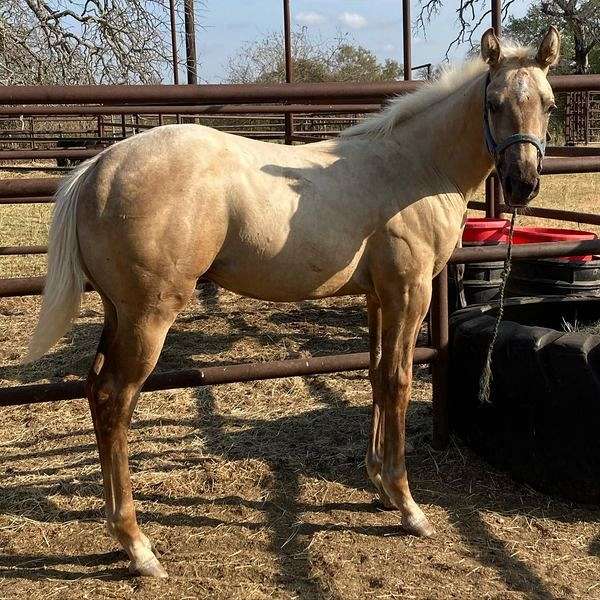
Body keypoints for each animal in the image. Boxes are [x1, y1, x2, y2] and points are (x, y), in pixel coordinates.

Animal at [25, 27, 560, 576]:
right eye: (494, 104)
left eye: (548, 103)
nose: (523, 183)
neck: (417, 167)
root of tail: (98, 167)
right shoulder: (410, 292)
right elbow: (399, 381)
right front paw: (408, 506)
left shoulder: (378, 297)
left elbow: (376, 375)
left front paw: (380, 485)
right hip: (147, 317)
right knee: (116, 399)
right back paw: (138, 546)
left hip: (119, 312)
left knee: (95, 391)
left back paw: (120, 534)